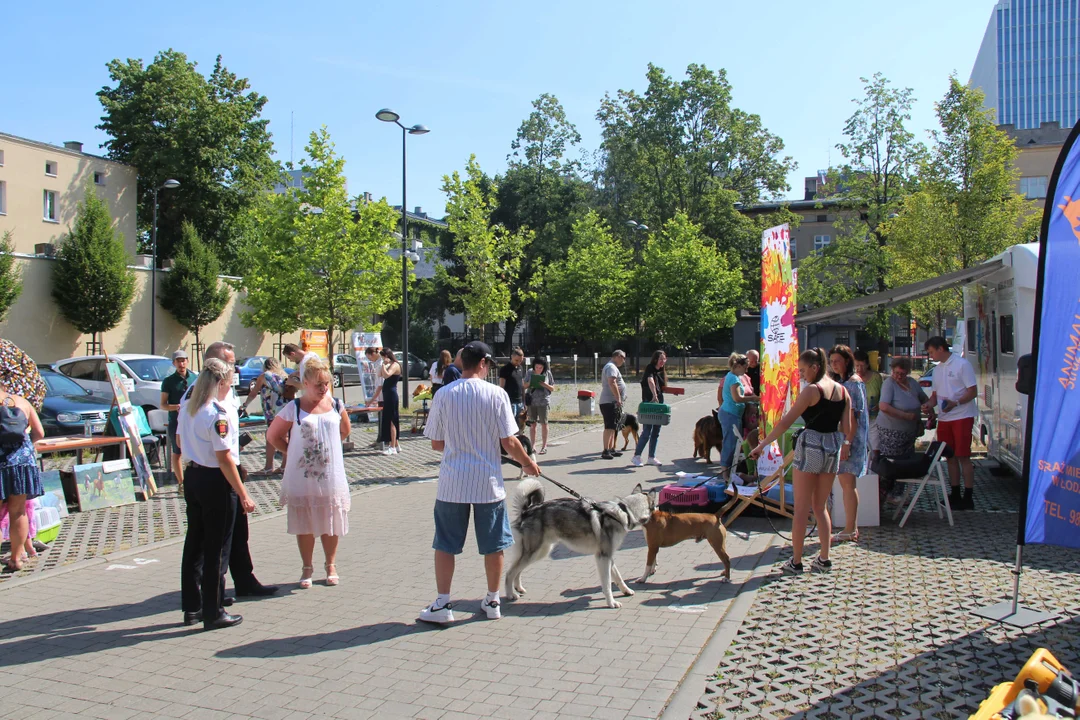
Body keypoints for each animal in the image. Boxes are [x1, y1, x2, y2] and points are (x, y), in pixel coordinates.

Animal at [503, 479, 648, 608]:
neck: (624, 512)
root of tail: (526, 511)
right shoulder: (603, 557)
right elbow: (607, 584)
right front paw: (611, 603)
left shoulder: (608, 556)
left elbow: (618, 576)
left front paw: (626, 590)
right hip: (534, 552)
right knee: (509, 573)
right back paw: (511, 594)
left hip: (539, 552)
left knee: (517, 571)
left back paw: (519, 588)